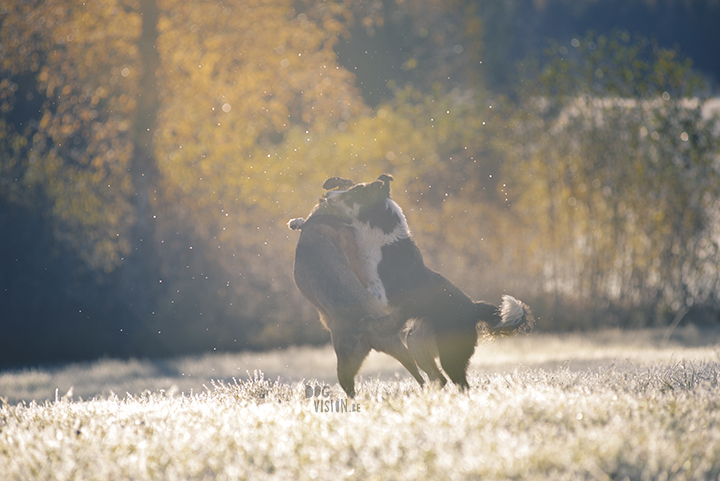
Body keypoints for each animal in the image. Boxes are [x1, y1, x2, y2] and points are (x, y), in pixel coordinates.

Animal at [320, 174, 536, 388]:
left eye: (352, 195)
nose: (327, 196)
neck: (378, 235)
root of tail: (473, 307)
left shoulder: (381, 292)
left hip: (450, 353)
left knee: (461, 383)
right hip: (416, 343)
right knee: (440, 378)